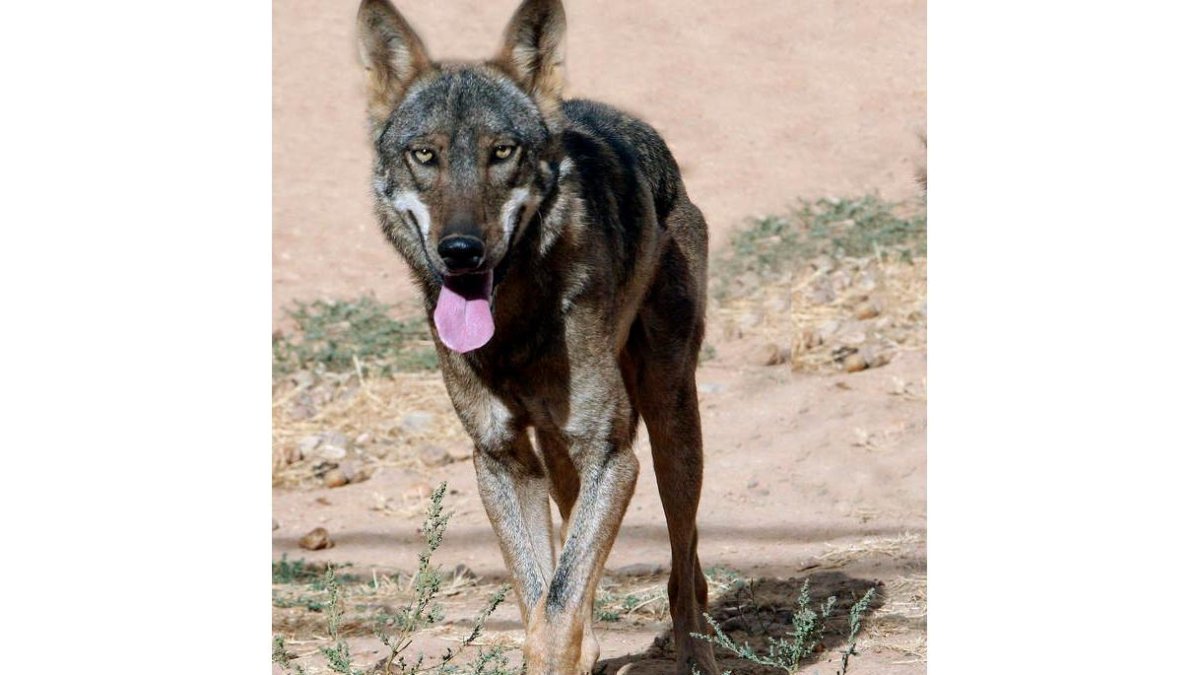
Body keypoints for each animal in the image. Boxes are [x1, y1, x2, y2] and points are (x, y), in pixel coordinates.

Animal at [356, 1, 720, 672]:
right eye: (425, 155)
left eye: (502, 152)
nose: (461, 250)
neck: (516, 328)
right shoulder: (502, 460)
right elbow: (538, 603)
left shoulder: (611, 455)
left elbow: (555, 612)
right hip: (562, 452)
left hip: (669, 423)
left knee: (685, 573)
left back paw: (697, 652)